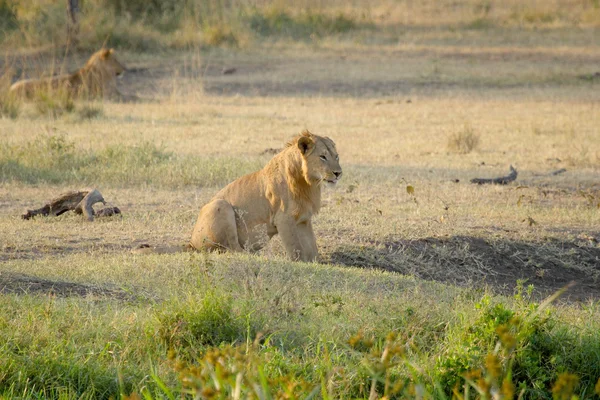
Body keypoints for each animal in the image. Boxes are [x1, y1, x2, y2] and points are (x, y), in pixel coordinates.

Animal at [190, 130, 344, 262]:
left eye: (336, 156)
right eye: (322, 157)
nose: (338, 173)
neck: (308, 184)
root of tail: (191, 242)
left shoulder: (303, 219)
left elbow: (312, 248)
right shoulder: (284, 219)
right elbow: (296, 249)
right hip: (221, 205)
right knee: (233, 249)